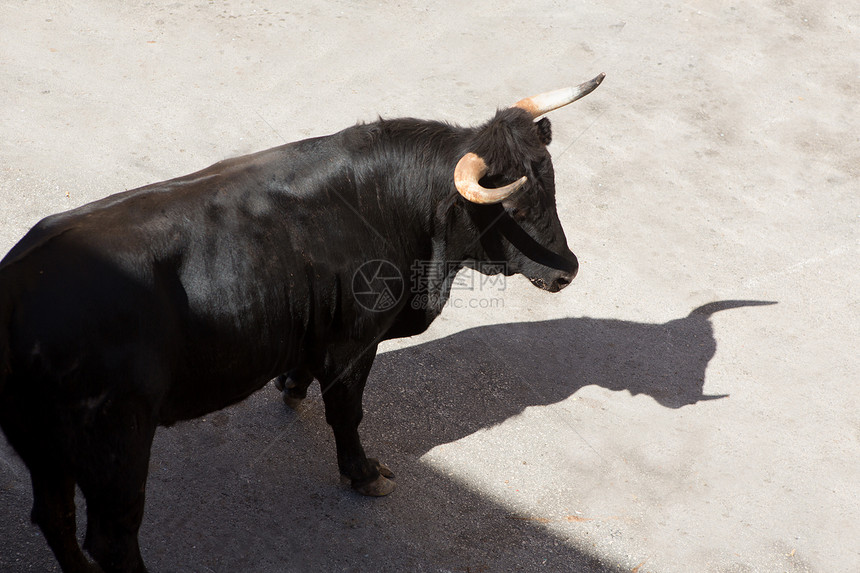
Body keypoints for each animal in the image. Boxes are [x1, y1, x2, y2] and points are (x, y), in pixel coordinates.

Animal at [0, 82, 596, 568]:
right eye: (512, 211)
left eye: (552, 184)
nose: (568, 270)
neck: (394, 206)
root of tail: (16, 286)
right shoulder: (355, 343)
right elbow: (348, 412)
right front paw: (364, 474)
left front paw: (291, 385)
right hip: (116, 446)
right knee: (112, 538)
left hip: (46, 449)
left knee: (55, 519)